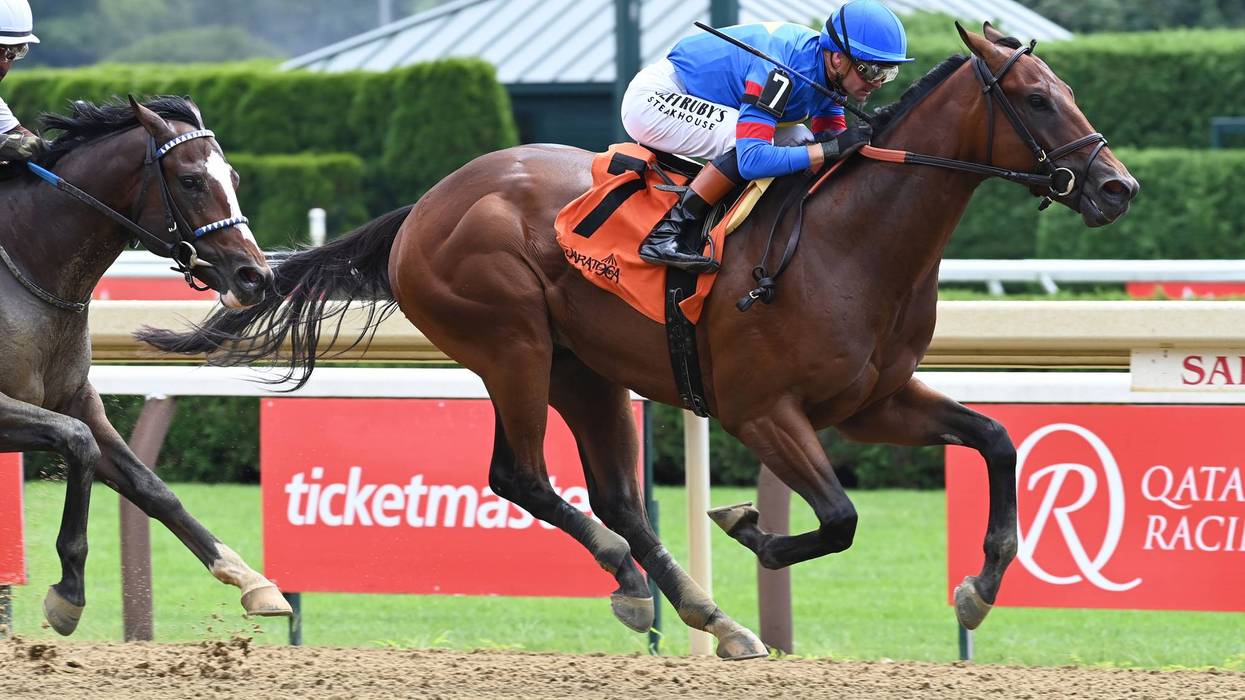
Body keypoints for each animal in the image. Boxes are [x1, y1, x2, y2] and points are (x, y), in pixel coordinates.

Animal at [0, 95, 291, 635]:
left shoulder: (76, 398)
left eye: (234, 177)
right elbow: (80, 443)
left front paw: (251, 579)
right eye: (191, 180)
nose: (256, 276)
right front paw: (68, 592)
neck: (28, 268)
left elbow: (150, 486)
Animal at [138, 25, 1137, 658]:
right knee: (523, 477)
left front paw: (980, 586)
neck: (850, 242)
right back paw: (635, 583)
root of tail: (424, 204)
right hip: (511, 344)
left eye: (1067, 91)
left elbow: (996, 440)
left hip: (588, 370)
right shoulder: (761, 410)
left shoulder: (872, 402)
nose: (1116, 187)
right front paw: (746, 525)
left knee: (618, 497)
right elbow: (838, 519)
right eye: (1037, 100)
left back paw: (707, 615)